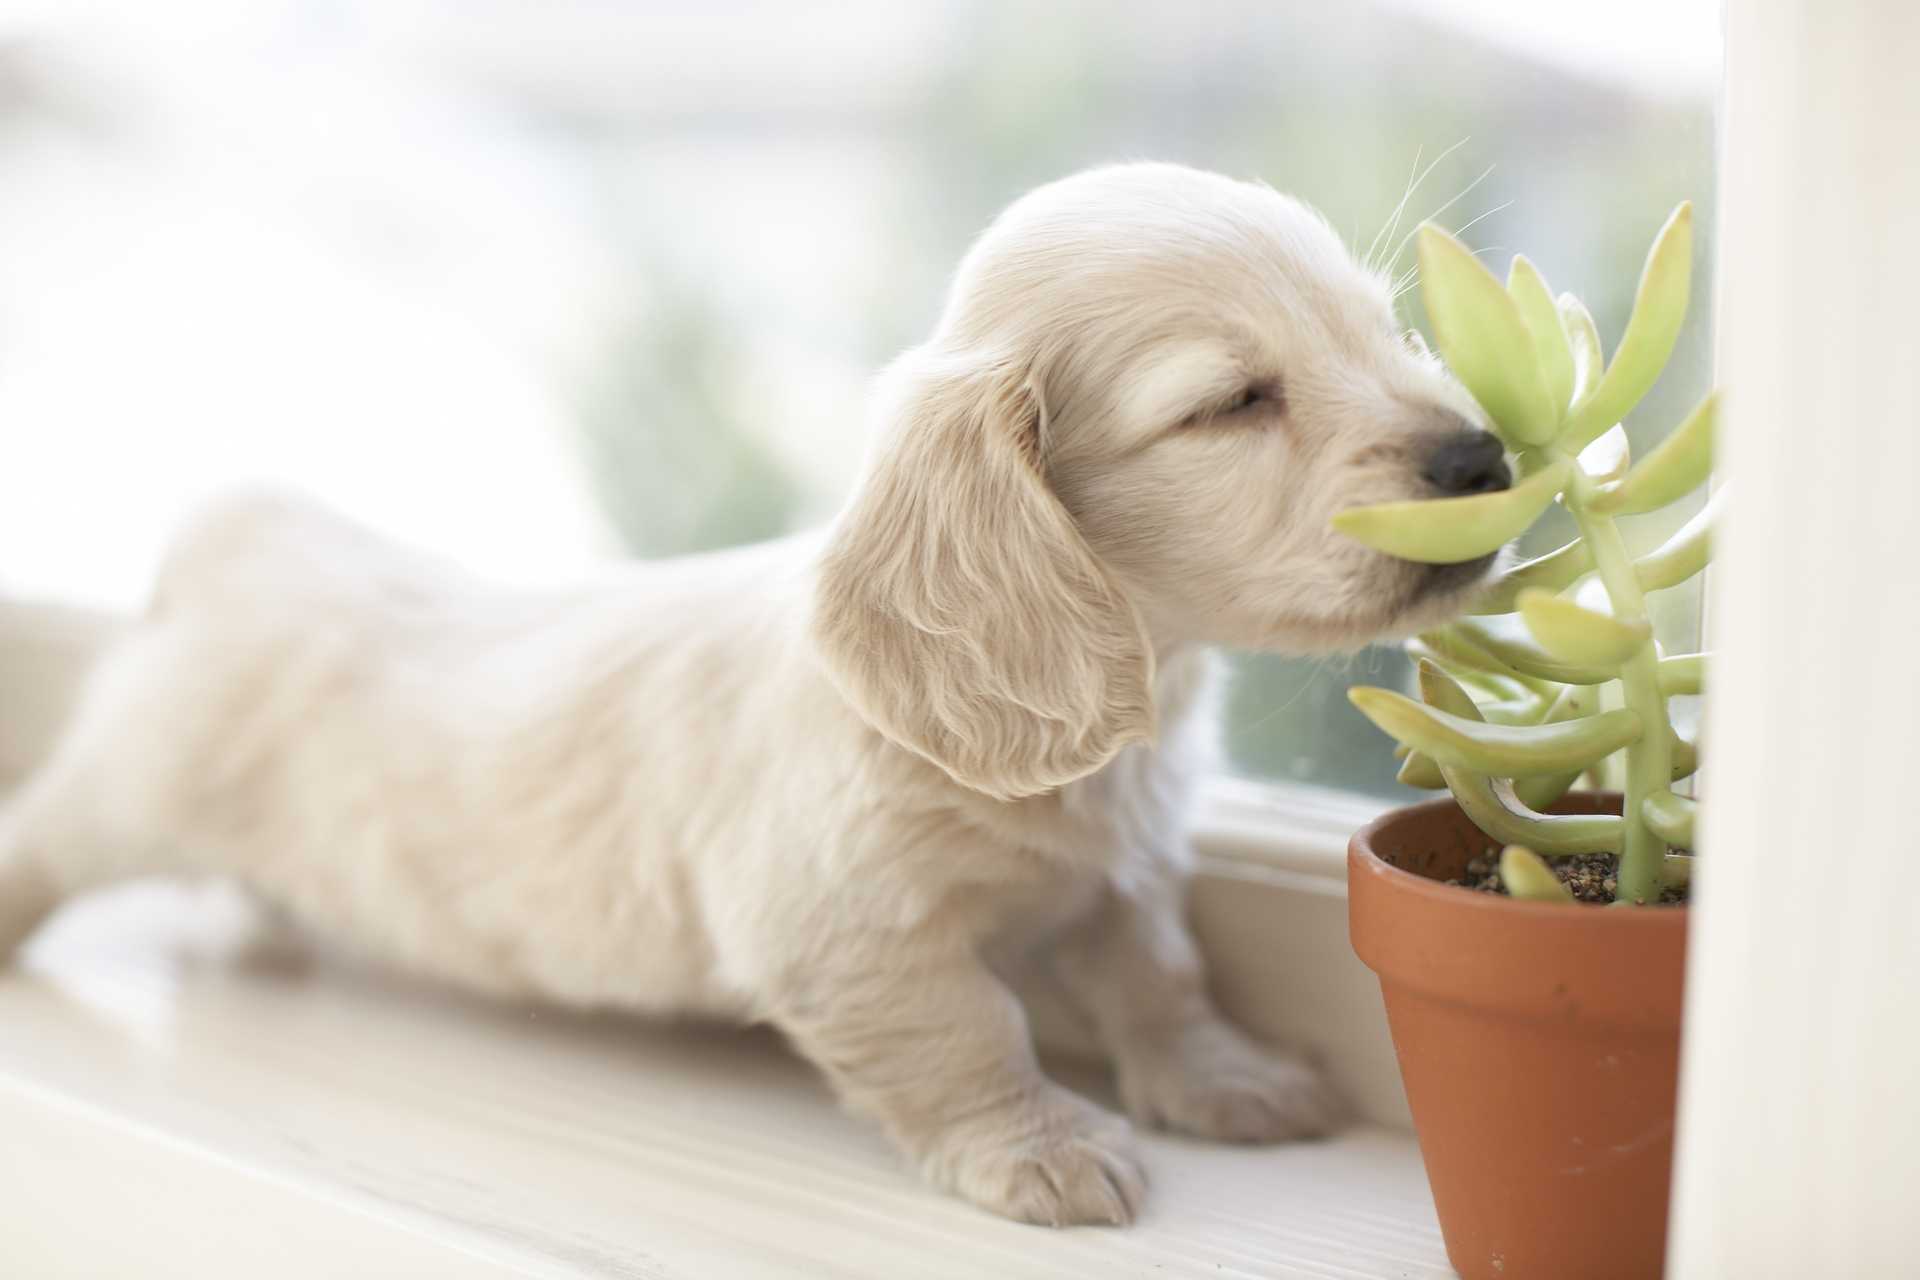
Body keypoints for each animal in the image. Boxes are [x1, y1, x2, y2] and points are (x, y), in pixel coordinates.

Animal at [0, 165, 1505, 1228]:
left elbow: (1159, 975)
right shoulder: (845, 930)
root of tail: (255, 538)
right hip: (123, 789)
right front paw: (1043, 1143)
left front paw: (1224, 1075)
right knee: (42, 838)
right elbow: (972, 1026)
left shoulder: (1122, 876)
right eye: (1231, 402)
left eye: (1386, 327)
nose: (1483, 458)